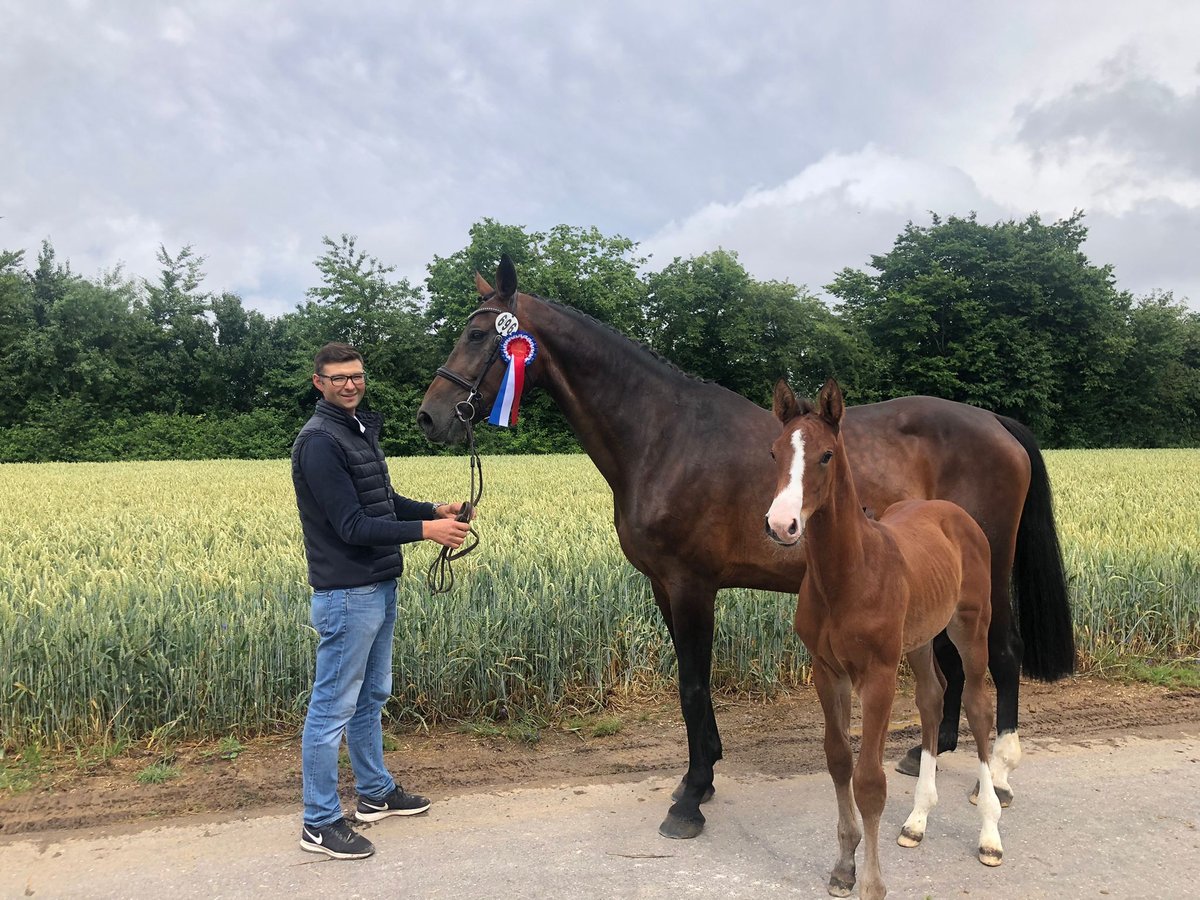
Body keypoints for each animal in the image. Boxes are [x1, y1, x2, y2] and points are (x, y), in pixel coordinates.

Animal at [417, 256, 1075, 844]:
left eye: (478, 334)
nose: (429, 417)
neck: (663, 435)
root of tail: (996, 422)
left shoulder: (691, 584)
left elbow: (692, 684)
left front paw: (688, 799)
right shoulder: (663, 585)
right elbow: (693, 684)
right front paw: (703, 777)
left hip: (987, 574)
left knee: (1003, 654)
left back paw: (1000, 775)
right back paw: (925, 752)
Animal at [768, 376, 1003, 897]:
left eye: (827, 455)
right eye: (774, 452)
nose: (780, 524)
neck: (847, 576)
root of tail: (953, 512)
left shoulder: (877, 676)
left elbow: (870, 781)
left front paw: (873, 883)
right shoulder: (827, 671)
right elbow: (839, 760)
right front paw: (843, 866)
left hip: (970, 627)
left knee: (978, 706)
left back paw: (990, 836)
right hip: (918, 640)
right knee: (933, 696)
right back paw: (917, 821)